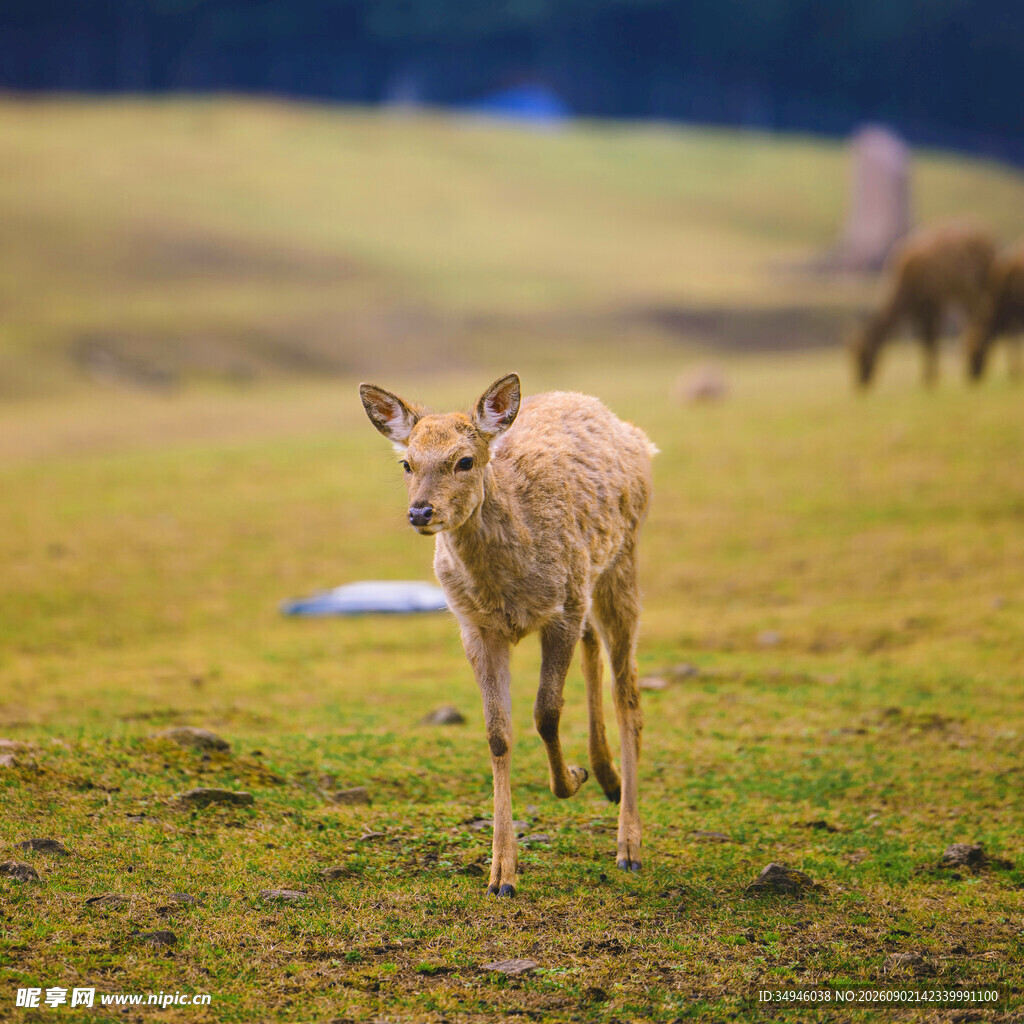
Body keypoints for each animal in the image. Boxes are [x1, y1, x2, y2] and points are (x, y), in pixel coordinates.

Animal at [359, 373, 656, 896]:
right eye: (406, 462)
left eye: (464, 460)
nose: (420, 512)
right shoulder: (475, 626)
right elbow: (497, 734)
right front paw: (501, 875)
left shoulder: (561, 608)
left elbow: (547, 713)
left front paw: (570, 779)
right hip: (589, 580)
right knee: (594, 648)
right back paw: (607, 776)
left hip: (621, 559)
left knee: (629, 694)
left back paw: (628, 846)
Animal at [850, 223, 996, 388]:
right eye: (853, 356)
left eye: (863, 354)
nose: (860, 382)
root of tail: (991, 242)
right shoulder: (919, 310)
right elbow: (925, 340)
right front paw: (929, 378)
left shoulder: (933, 303)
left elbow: (930, 339)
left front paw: (930, 379)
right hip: (966, 295)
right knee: (973, 320)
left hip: (982, 286)